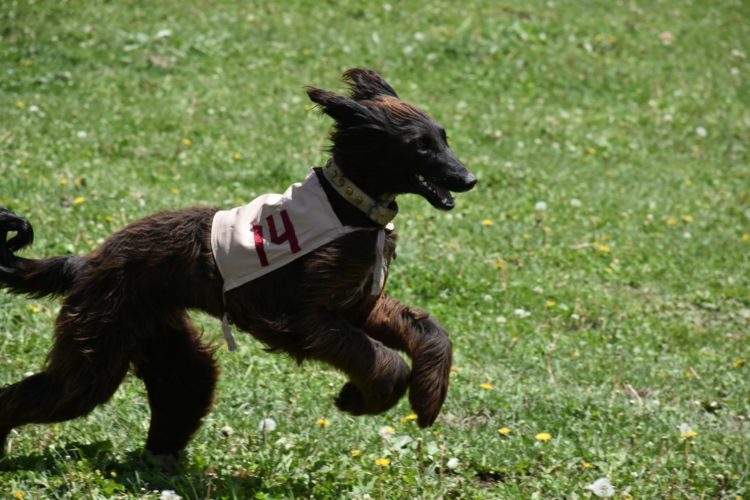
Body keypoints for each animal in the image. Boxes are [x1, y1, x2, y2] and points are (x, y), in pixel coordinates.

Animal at [0, 68, 476, 461]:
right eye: (420, 146)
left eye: (444, 138)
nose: (469, 179)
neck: (350, 208)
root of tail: (87, 263)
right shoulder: (300, 317)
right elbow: (380, 358)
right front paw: (358, 398)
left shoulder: (355, 303)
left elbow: (427, 329)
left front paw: (427, 397)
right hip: (96, 351)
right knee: (30, 396)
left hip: (157, 339)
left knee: (182, 388)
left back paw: (162, 463)